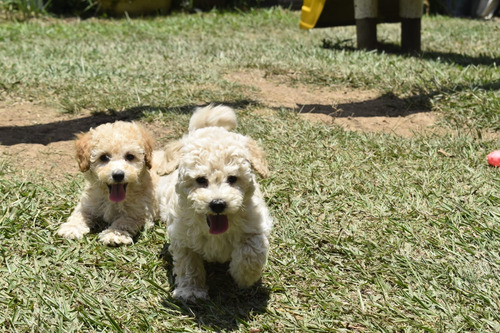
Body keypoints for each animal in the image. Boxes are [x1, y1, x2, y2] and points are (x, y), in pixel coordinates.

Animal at [157, 105, 272, 300]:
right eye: (200, 180)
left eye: (232, 178)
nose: (218, 204)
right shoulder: (182, 237)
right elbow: (188, 264)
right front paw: (191, 291)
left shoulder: (255, 227)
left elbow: (251, 253)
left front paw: (244, 277)